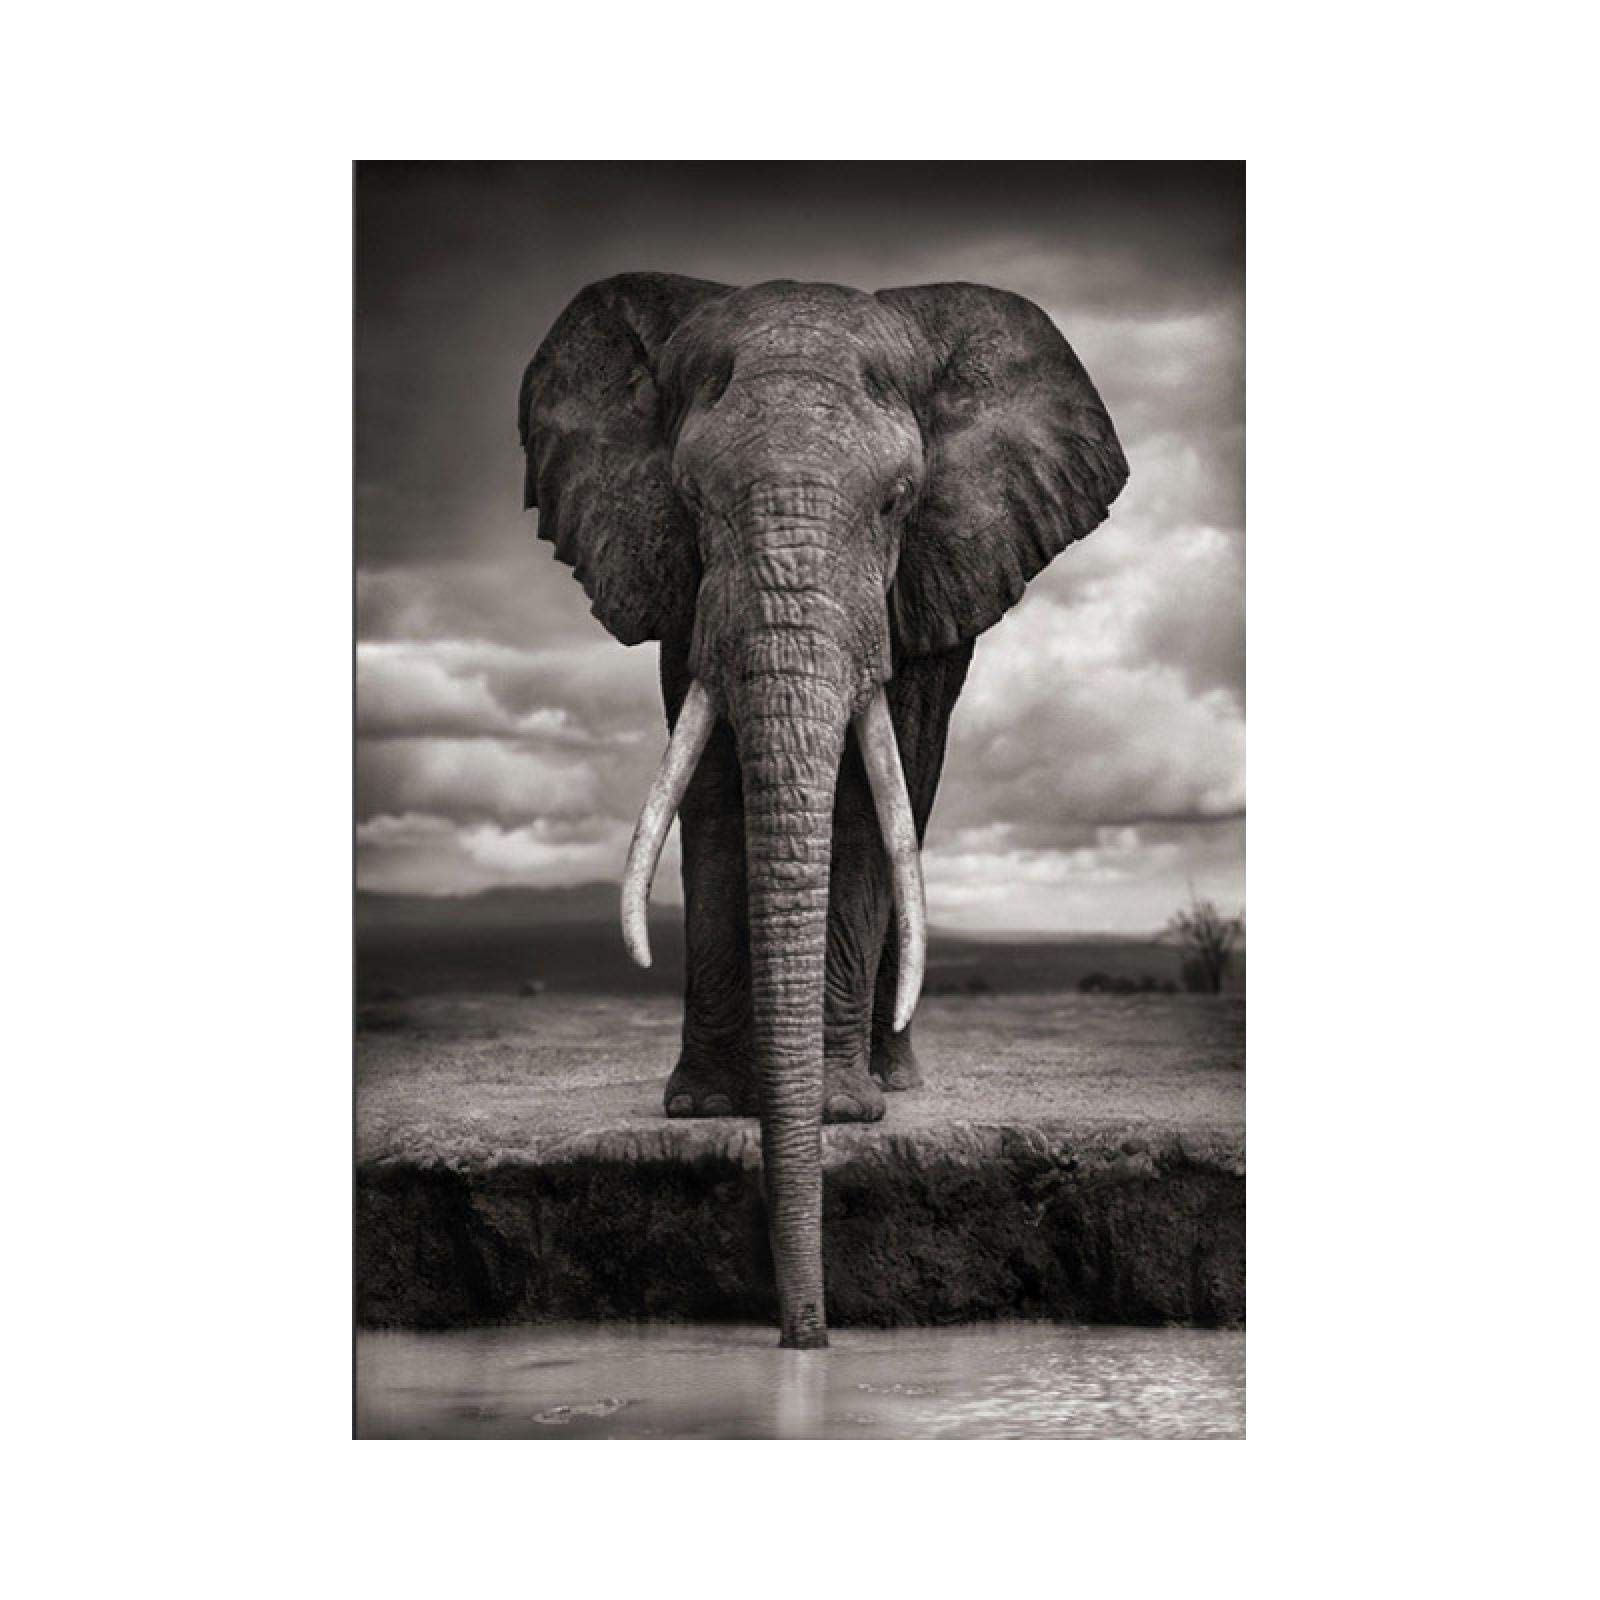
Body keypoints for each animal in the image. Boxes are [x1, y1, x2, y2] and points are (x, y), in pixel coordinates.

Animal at [520, 274, 1127, 1346]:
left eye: (897, 502)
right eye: (690, 499)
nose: (808, 1335)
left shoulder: (920, 578)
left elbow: (863, 805)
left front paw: (841, 1114)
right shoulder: (686, 591)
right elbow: (712, 786)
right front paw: (708, 1107)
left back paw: (893, 1082)